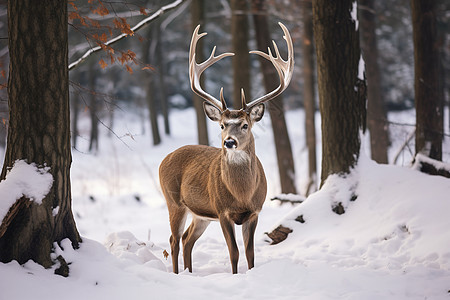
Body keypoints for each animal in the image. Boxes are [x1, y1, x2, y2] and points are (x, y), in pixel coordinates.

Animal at [159, 21, 296, 274]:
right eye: (222, 125)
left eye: (245, 124)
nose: (229, 142)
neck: (242, 195)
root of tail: (166, 158)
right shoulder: (222, 211)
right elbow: (234, 253)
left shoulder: (254, 212)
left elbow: (250, 253)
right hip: (173, 201)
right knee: (174, 239)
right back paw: (177, 274)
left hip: (201, 215)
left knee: (187, 239)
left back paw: (190, 272)